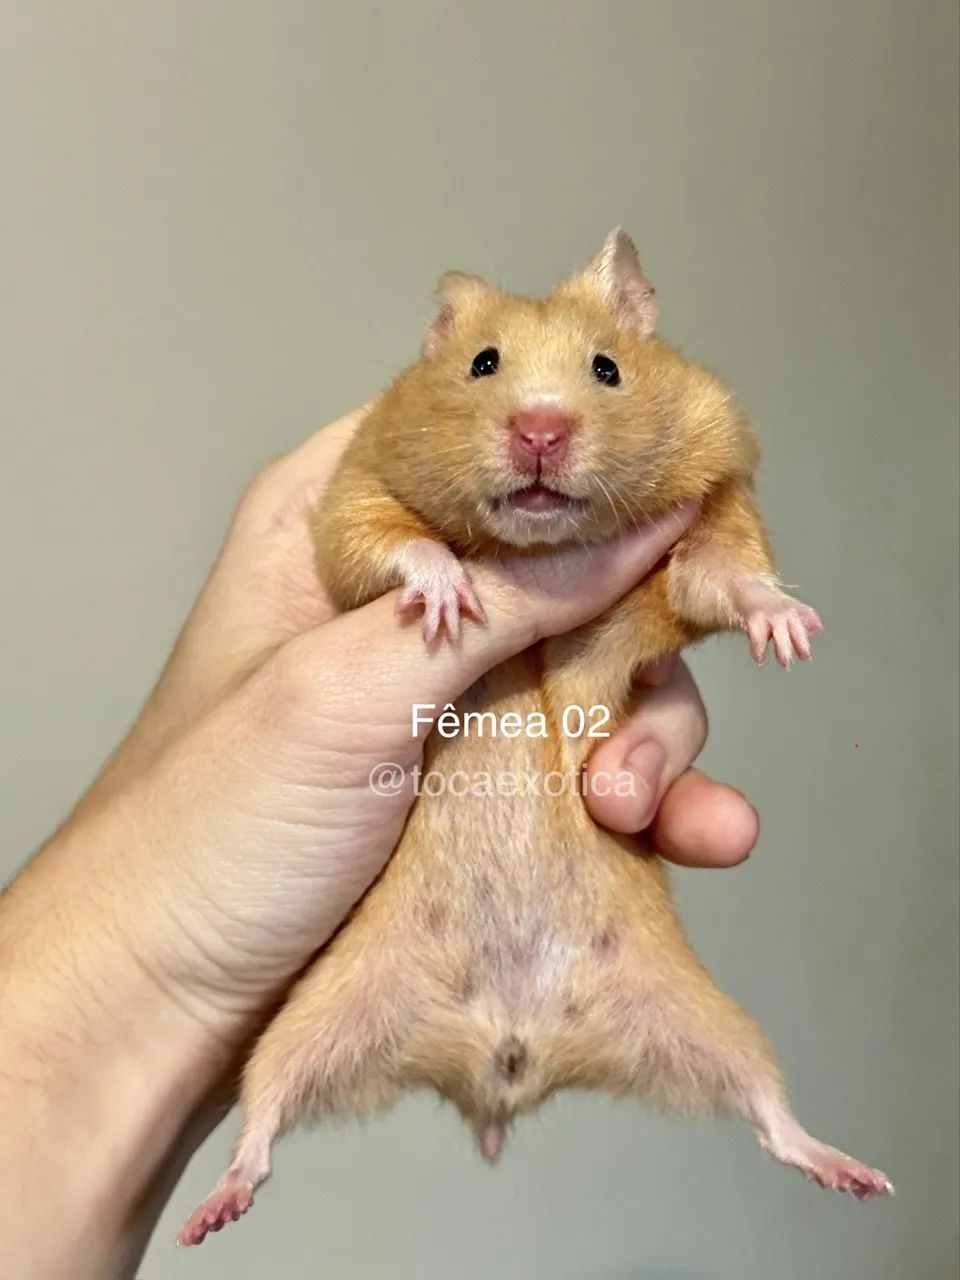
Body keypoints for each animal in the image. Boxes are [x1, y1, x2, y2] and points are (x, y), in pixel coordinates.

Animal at [179, 230, 892, 1246]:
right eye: (483, 364)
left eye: (609, 368)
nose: (541, 432)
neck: (538, 544)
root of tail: (507, 1064)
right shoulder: (354, 493)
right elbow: (387, 544)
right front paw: (452, 603)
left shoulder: (715, 508)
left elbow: (726, 574)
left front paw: (790, 634)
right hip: (312, 1015)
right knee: (264, 1118)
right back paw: (212, 1213)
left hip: (706, 1017)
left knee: (770, 1110)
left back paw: (854, 1174)